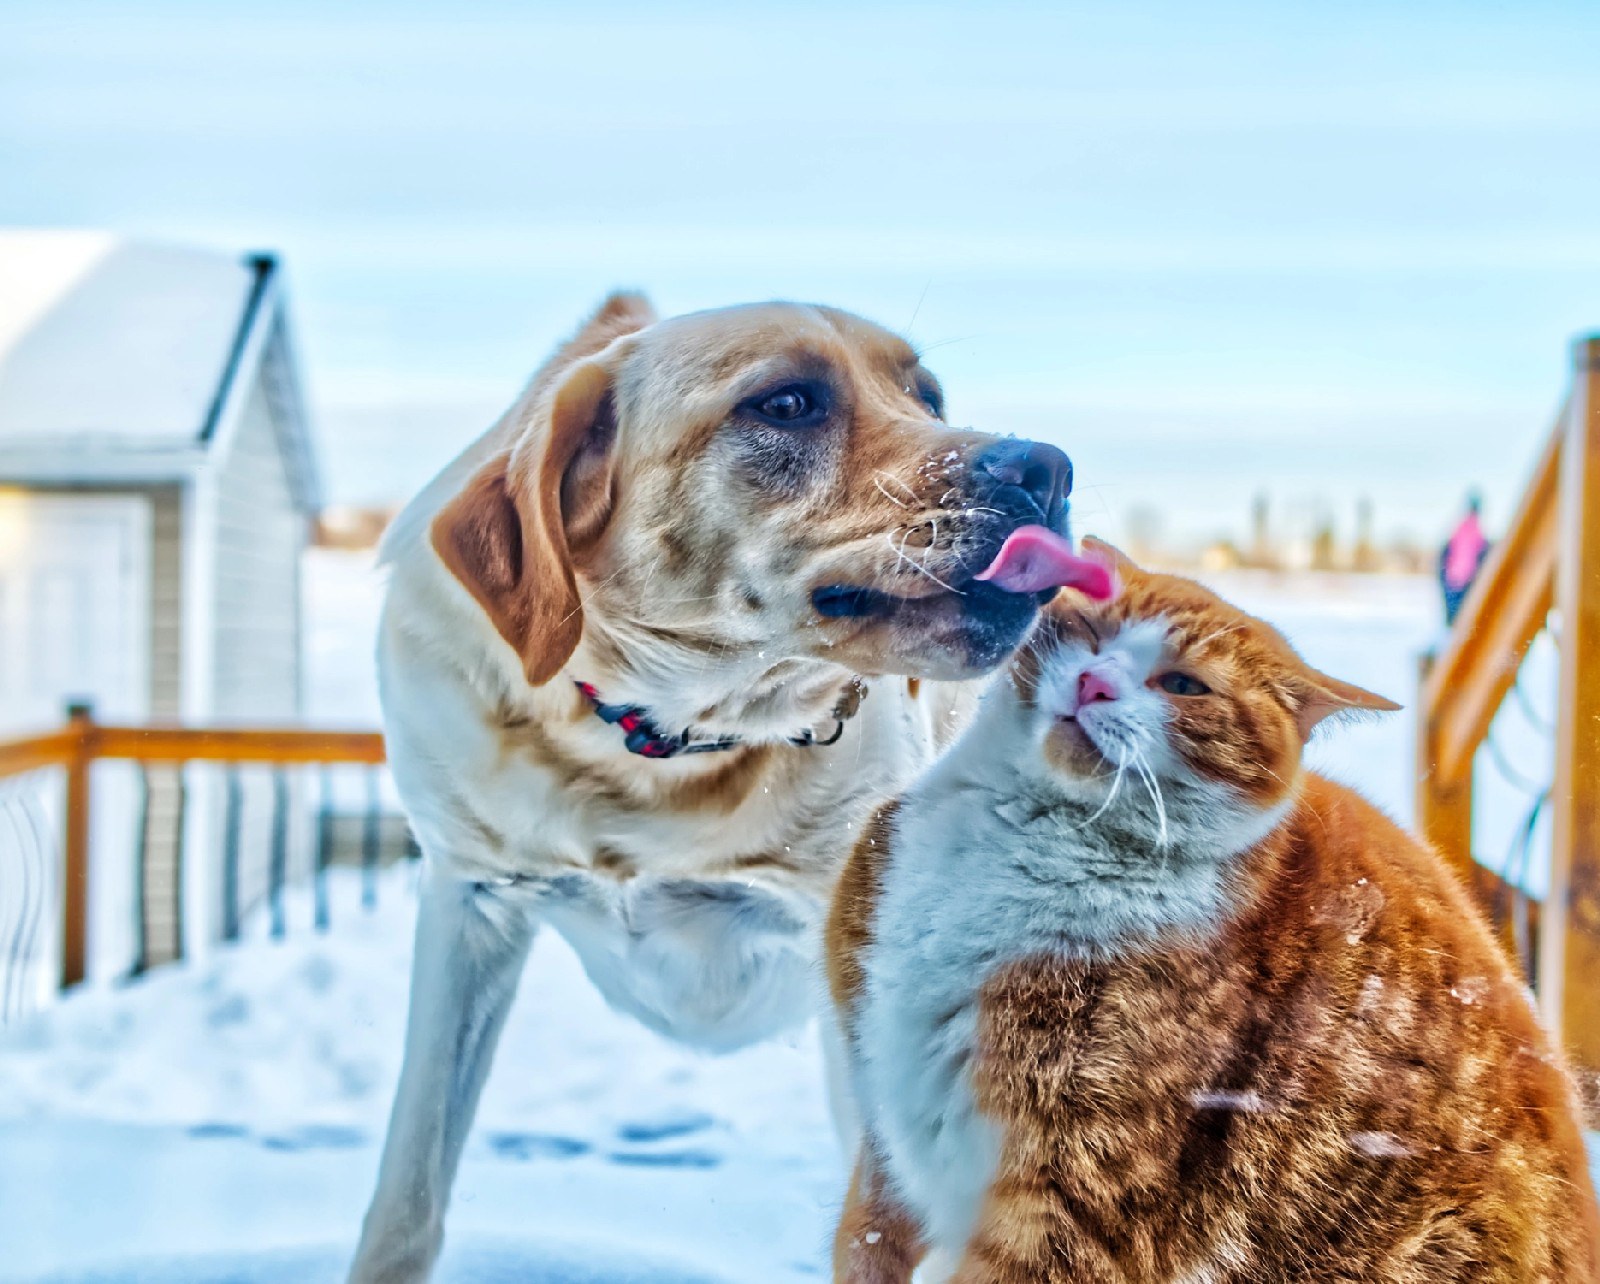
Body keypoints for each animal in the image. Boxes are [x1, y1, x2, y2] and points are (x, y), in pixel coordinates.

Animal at [345, 294, 1081, 1274]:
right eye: (786, 404)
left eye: (926, 395)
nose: (1050, 468)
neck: (661, 748)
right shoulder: (470, 904)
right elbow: (409, 1191)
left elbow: (880, 1225)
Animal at [825, 541, 1600, 1280]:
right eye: (1092, 630)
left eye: (1183, 685)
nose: (1094, 683)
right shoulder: (883, 1139)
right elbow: (865, 1240)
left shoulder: (1073, 1200)